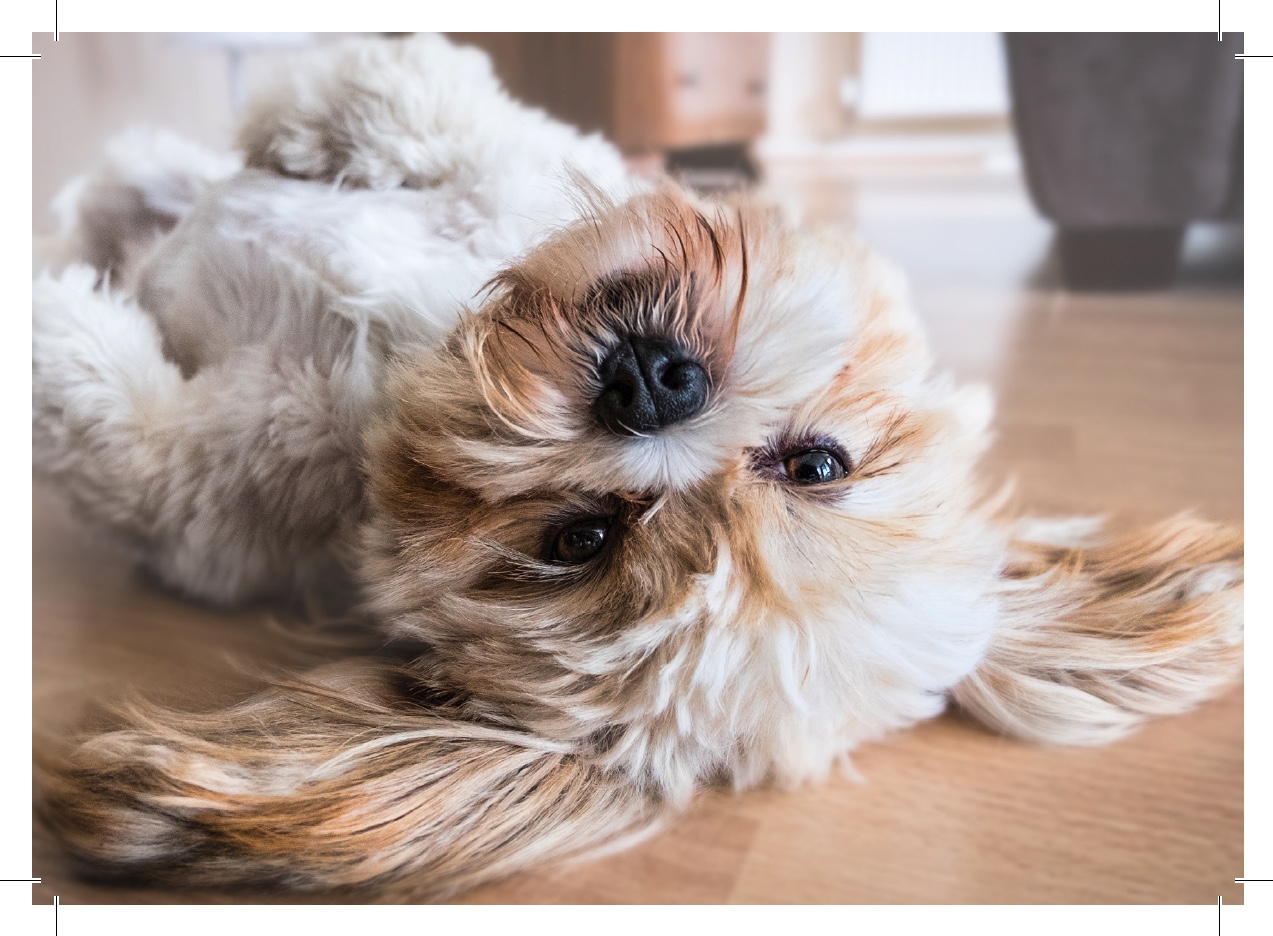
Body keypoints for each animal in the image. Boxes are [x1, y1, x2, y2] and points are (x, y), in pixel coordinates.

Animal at [32, 34, 1244, 900]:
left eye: (578, 538)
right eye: (819, 464)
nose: (654, 385)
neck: (403, 357)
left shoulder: (207, 501)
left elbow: (115, 424)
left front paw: (52, 325)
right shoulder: (512, 167)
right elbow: (431, 105)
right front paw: (319, 115)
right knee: (131, 184)